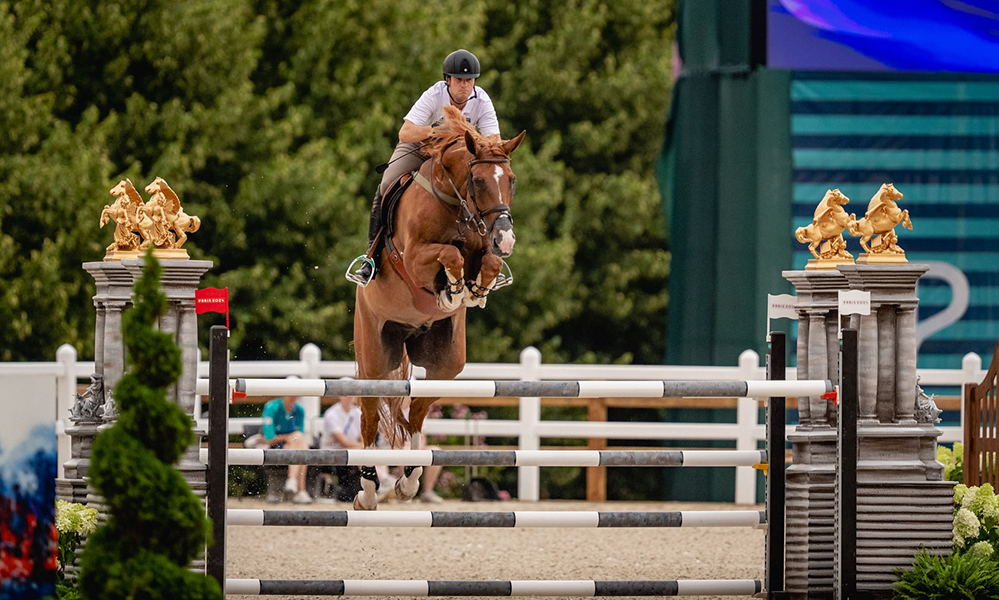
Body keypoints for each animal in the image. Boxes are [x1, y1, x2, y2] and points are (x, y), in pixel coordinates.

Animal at [354, 105, 528, 508]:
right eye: (477, 181)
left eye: (511, 180)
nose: (506, 238)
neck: (455, 203)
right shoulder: (415, 258)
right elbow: (449, 254)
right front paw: (453, 288)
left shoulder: (483, 249)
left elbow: (486, 262)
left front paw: (471, 291)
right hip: (374, 357)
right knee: (369, 418)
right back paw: (368, 490)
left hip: (445, 362)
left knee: (417, 412)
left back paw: (409, 480)